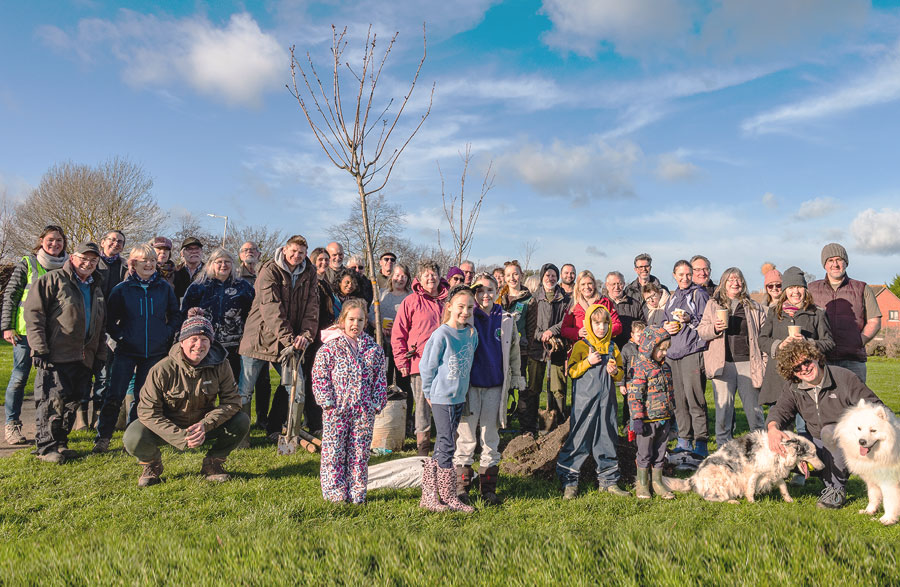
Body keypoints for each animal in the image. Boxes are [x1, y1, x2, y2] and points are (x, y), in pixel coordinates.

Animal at [664, 430, 828, 504]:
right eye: (813, 453)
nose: (824, 466)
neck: (780, 450)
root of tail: (693, 479)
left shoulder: (774, 473)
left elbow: (783, 487)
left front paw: (789, 500)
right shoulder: (755, 473)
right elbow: (751, 488)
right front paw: (751, 502)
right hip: (724, 474)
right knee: (710, 497)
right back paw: (732, 501)